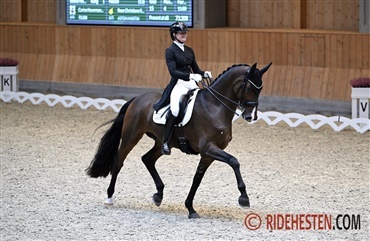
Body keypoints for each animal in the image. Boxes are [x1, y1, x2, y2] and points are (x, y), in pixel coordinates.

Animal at [86, 62, 272, 218]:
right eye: (250, 87)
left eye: (261, 88)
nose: (250, 116)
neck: (215, 106)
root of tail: (137, 99)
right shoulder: (208, 148)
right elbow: (234, 161)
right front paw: (244, 198)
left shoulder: (208, 154)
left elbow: (197, 179)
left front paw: (190, 208)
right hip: (131, 137)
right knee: (118, 161)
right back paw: (110, 197)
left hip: (161, 142)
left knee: (147, 159)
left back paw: (158, 195)